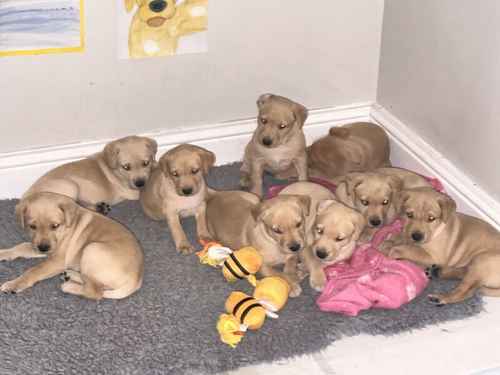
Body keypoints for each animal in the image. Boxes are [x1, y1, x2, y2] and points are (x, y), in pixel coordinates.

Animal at [0, 194, 145, 300]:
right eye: (32, 226)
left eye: (55, 226)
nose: (43, 248)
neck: (67, 228)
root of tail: (136, 280)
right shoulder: (41, 247)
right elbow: (21, 247)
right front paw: (3, 253)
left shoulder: (56, 261)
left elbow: (33, 271)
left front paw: (14, 284)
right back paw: (70, 275)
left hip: (91, 249)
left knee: (95, 292)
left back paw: (69, 286)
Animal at [22, 137, 156, 216]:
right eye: (126, 167)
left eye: (146, 163)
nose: (140, 184)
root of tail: (25, 199)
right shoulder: (131, 192)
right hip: (70, 185)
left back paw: (100, 208)